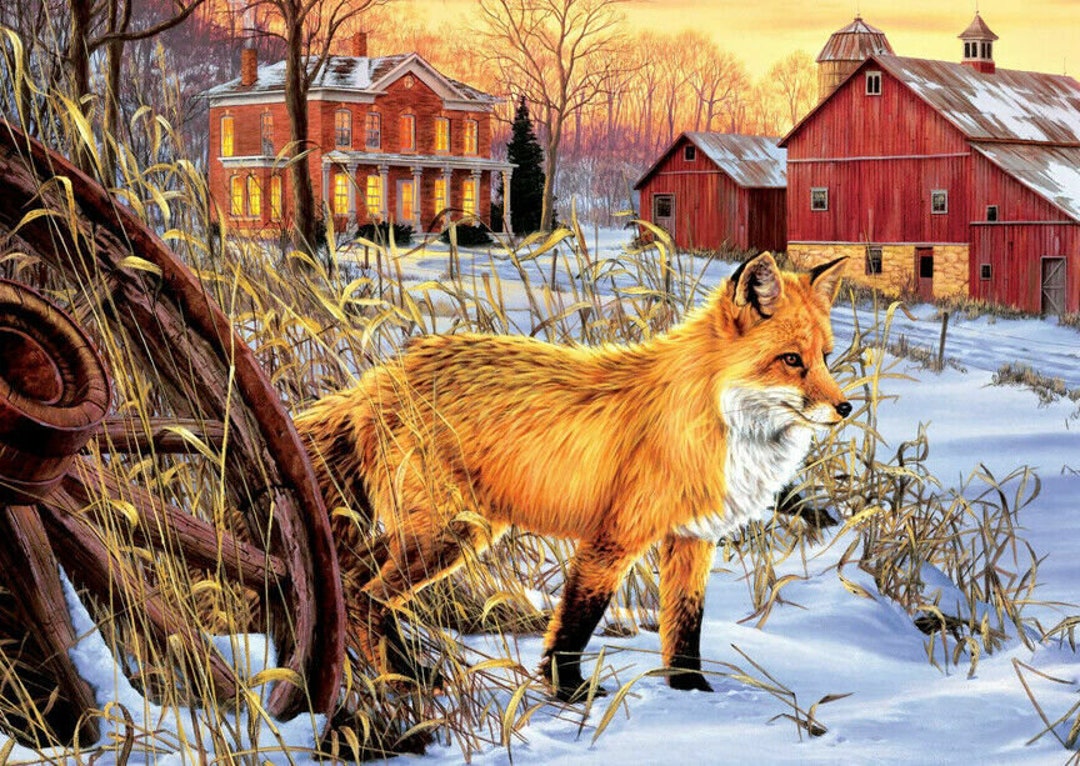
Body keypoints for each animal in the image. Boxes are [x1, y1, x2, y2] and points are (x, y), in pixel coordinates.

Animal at [295, 251, 851, 701]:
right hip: (449, 533)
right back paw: (408, 678)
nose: (845, 408)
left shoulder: (692, 539)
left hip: (438, 532)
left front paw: (691, 690)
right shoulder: (613, 537)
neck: (713, 419)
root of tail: (380, 378)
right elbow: (575, 623)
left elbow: (684, 626)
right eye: (791, 361)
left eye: (825, 358)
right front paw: (568, 691)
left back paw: (399, 674)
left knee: (354, 581)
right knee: (367, 597)